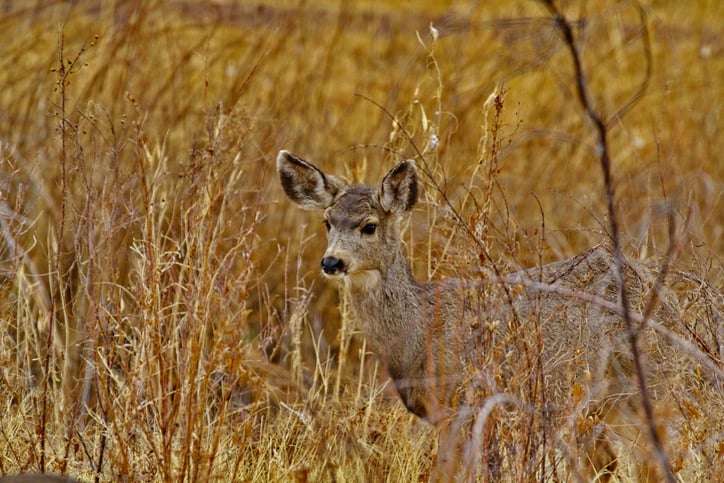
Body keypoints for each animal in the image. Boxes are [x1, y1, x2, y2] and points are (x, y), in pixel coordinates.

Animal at [274, 149, 716, 482]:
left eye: (368, 226)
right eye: (327, 222)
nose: (331, 261)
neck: (419, 332)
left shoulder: (465, 405)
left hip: (649, 381)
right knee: (613, 462)